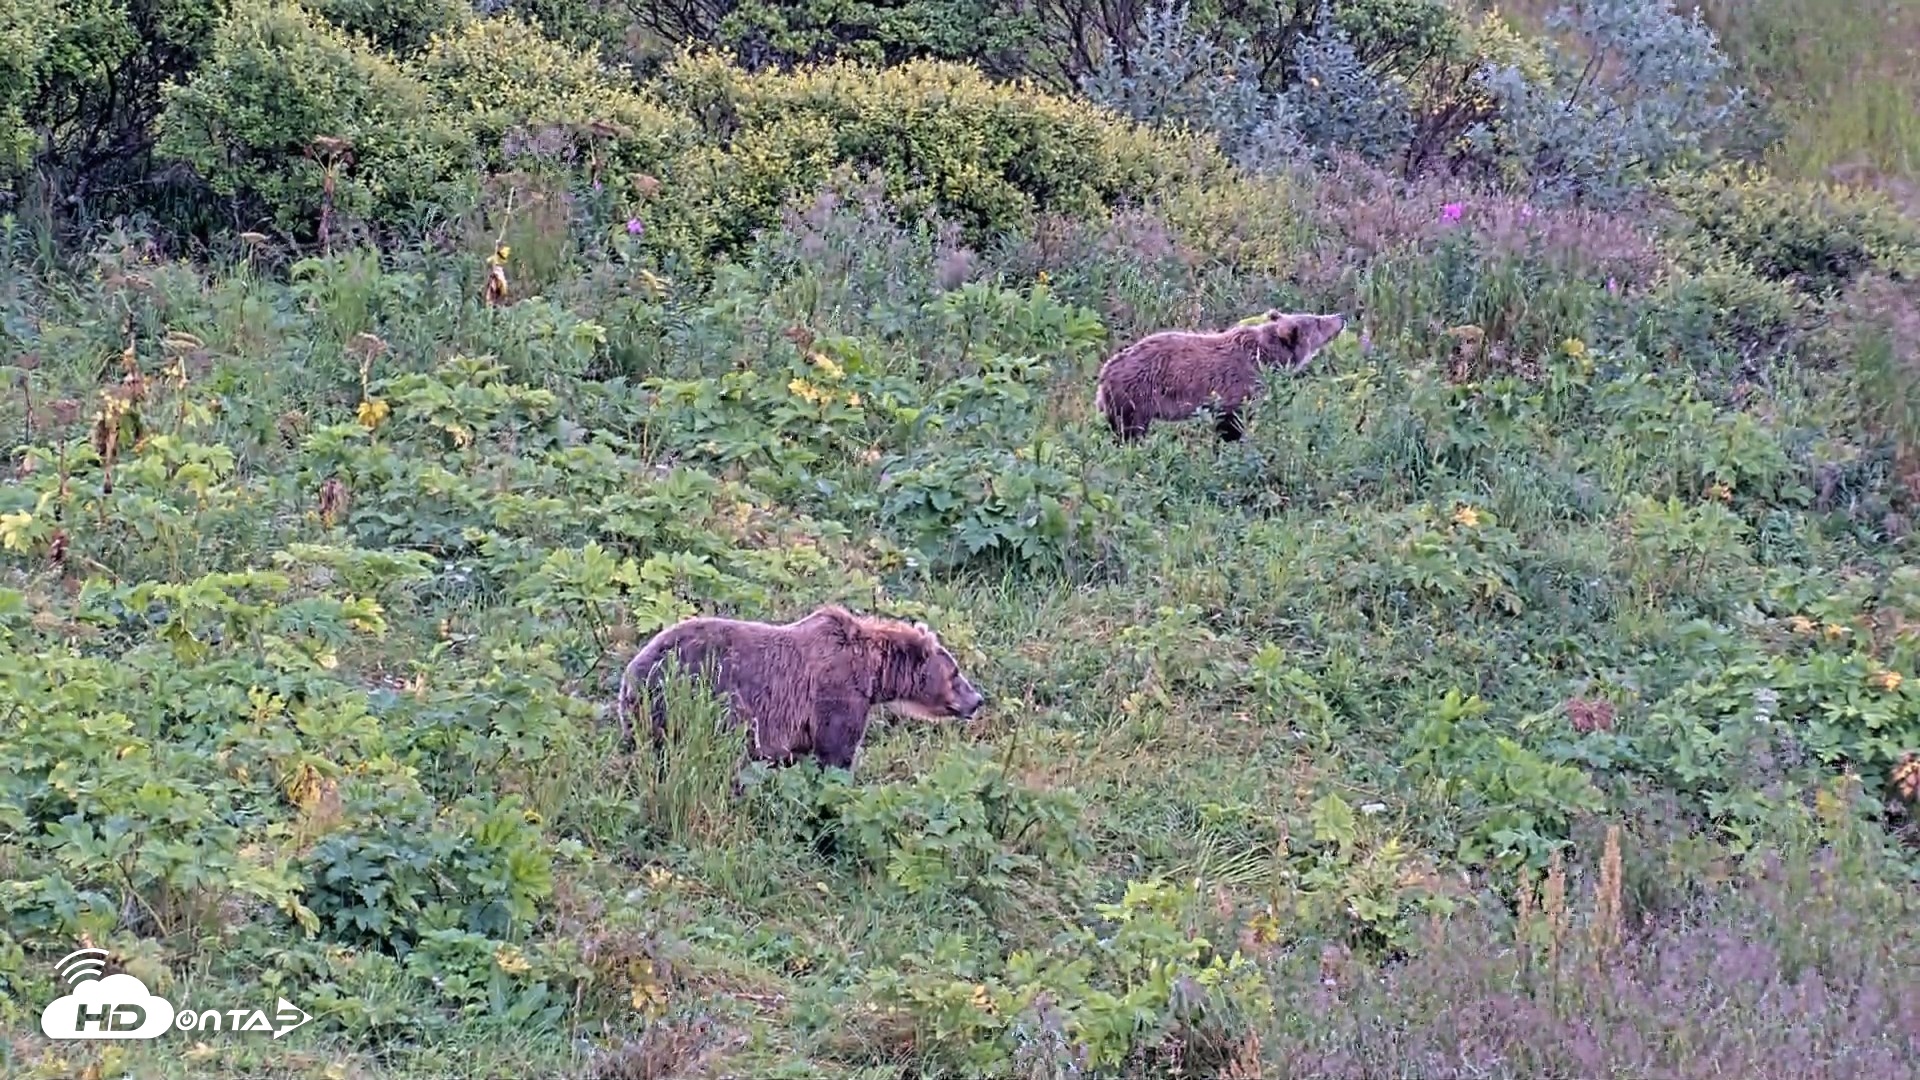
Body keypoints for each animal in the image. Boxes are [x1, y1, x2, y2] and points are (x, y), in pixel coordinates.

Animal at [615, 604, 987, 776]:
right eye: (955, 672)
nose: (978, 700)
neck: (873, 673)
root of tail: (631, 674)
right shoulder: (836, 694)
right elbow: (836, 751)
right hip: (693, 692)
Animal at [1093, 309, 1346, 442]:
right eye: (1317, 322)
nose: (1340, 316)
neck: (1265, 357)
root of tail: (1105, 371)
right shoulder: (1236, 388)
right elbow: (1231, 423)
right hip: (1137, 395)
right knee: (1131, 430)